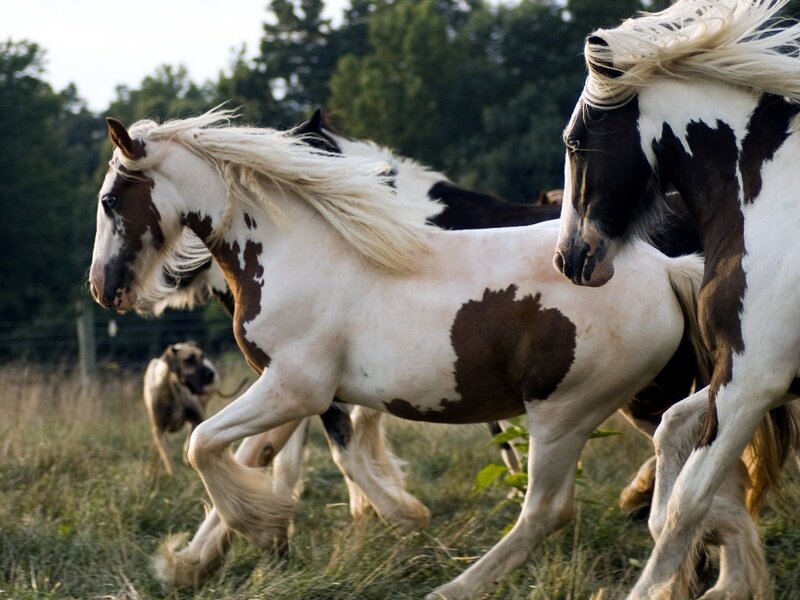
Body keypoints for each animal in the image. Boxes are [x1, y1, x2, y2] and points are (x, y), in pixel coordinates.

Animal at [88, 109, 738, 599]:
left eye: (111, 199)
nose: (104, 287)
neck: (297, 252)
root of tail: (665, 269)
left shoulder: (298, 388)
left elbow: (208, 446)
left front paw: (282, 528)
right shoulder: (293, 392)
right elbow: (255, 453)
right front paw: (194, 562)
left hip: (569, 413)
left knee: (551, 510)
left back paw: (456, 588)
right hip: (634, 402)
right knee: (701, 476)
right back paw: (710, 568)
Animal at [555, 1, 800, 597]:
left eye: (574, 142)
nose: (569, 259)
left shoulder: (753, 381)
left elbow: (686, 505)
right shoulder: (754, 376)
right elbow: (669, 434)